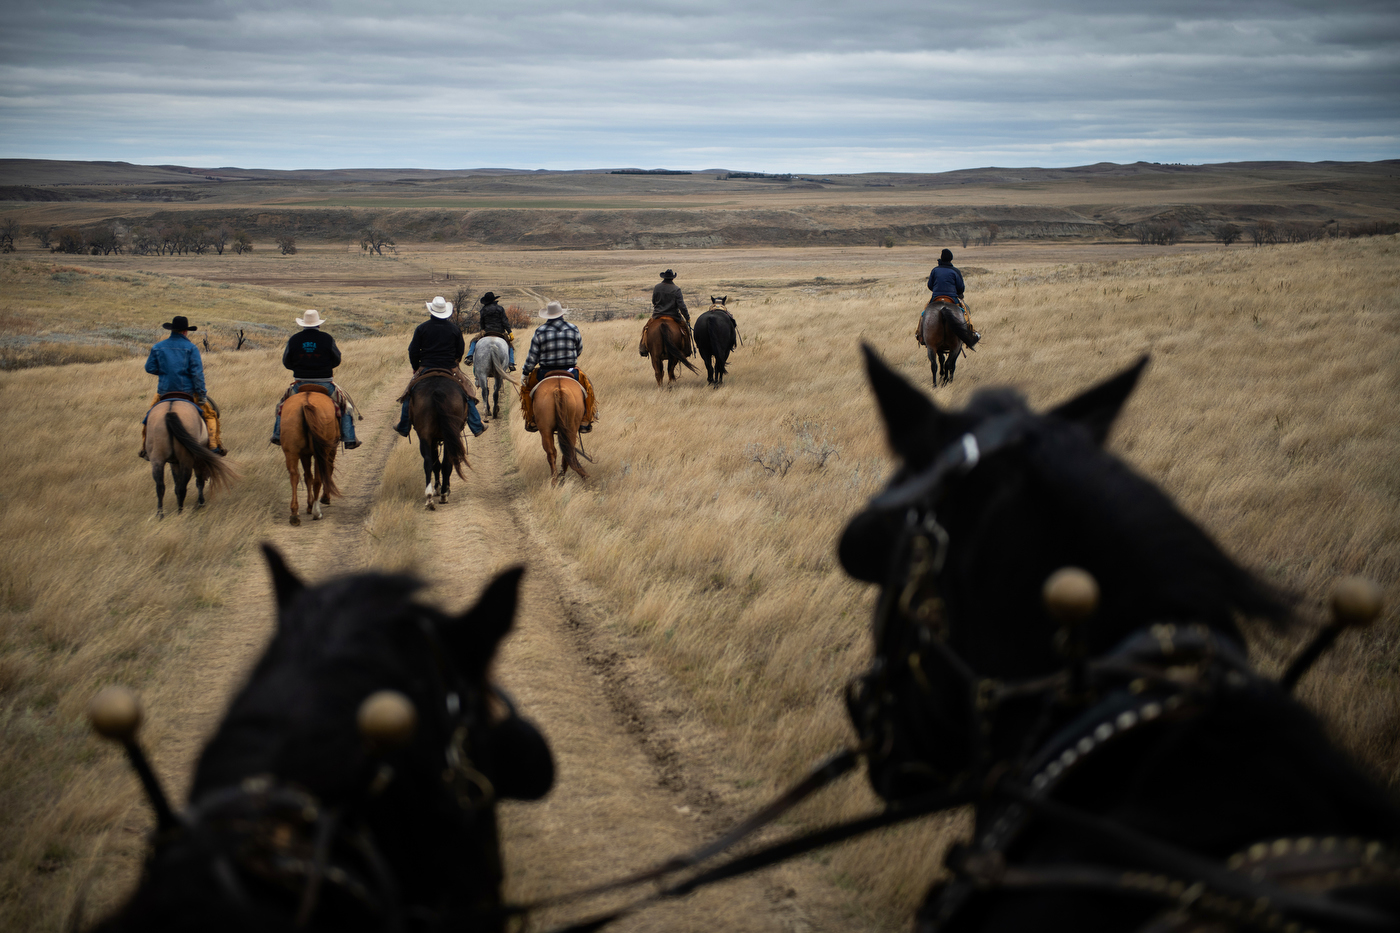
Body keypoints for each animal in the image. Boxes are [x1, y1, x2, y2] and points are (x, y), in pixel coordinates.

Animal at [280, 383, 340, 523]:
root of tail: (306, 403)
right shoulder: (330, 450)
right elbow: (327, 472)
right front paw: (324, 498)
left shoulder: (304, 454)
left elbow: (308, 477)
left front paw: (309, 505)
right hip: (321, 452)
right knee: (318, 479)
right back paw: (316, 512)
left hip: (291, 451)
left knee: (295, 476)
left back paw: (295, 515)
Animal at [408, 372, 470, 509]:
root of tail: (437, 391)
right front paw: (443, 488)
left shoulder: (433, 439)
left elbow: (436, 463)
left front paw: (439, 488)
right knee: (446, 462)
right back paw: (443, 494)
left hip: (425, 435)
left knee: (428, 462)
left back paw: (429, 497)